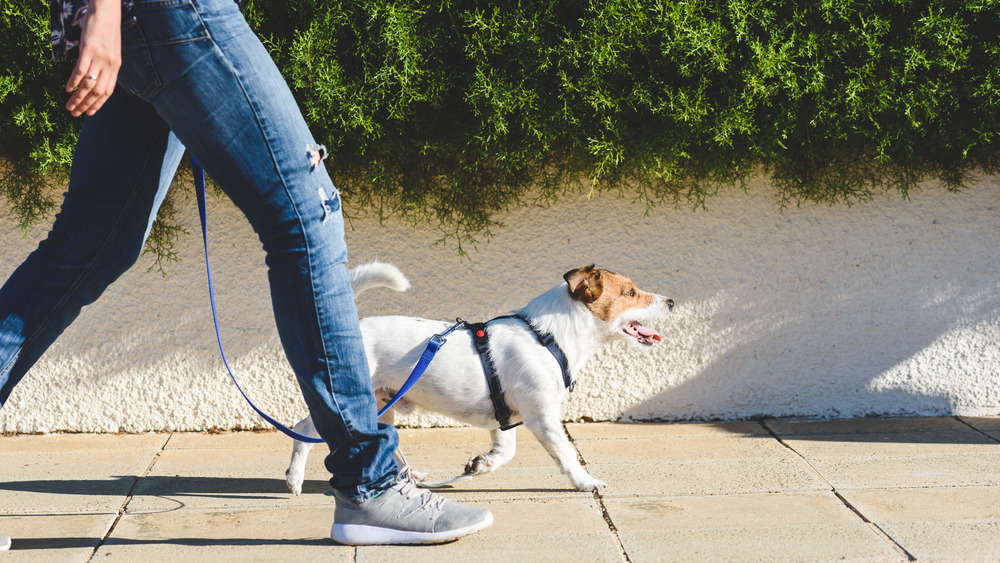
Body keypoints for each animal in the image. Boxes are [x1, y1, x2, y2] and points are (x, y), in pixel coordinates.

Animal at [284, 262, 672, 494]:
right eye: (630, 292)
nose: (670, 301)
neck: (548, 336)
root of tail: (354, 329)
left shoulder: (507, 419)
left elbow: (504, 452)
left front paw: (480, 465)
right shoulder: (543, 418)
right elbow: (566, 455)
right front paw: (585, 481)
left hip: (383, 406)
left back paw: (410, 477)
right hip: (351, 403)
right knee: (303, 430)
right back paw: (295, 479)